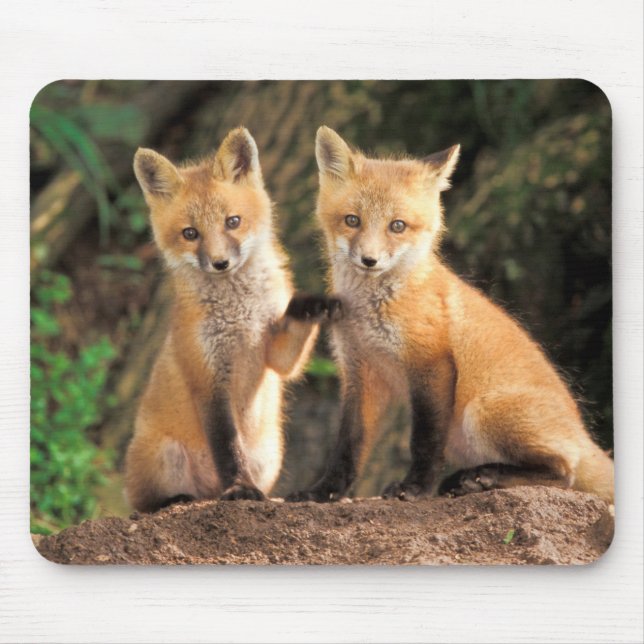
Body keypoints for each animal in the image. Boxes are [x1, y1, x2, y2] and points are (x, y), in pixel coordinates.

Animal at [125, 127, 339, 512]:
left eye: (233, 222)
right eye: (190, 234)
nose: (220, 263)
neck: (240, 315)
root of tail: (208, 492)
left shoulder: (275, 354)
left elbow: (289, 347)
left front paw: (312, 305)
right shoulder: (208, 378)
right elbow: (227, 448)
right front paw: (240, 488)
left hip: (269, 456)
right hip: (164, 456)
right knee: (144, 503)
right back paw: (177, 500)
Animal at [287, 126, 614, 505]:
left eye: (397, 226)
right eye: (352, 220)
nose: (369, 260)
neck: (370, 312)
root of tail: (582, 434)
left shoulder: (432, 362)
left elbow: (425, 441)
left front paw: (414, 488)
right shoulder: (361, 372)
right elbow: (348, 445)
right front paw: (323, 491)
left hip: (481, 412)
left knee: (564, 472)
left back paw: (482, 478)